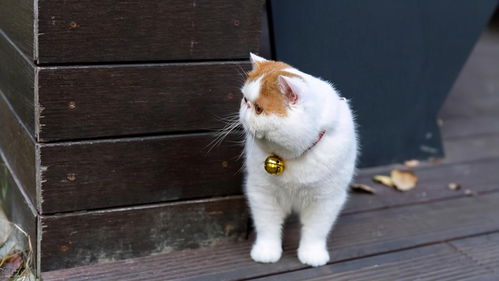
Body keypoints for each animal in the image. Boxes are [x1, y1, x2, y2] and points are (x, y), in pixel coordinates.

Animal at [240, 53, 358, 266]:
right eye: (245, 100)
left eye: (259, 109)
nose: (245, 111)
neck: (291, 156)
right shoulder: (262, 193)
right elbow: (267, 226)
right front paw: (266, 251)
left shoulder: (326, 199)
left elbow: (316, 231)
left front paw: (312, 254)